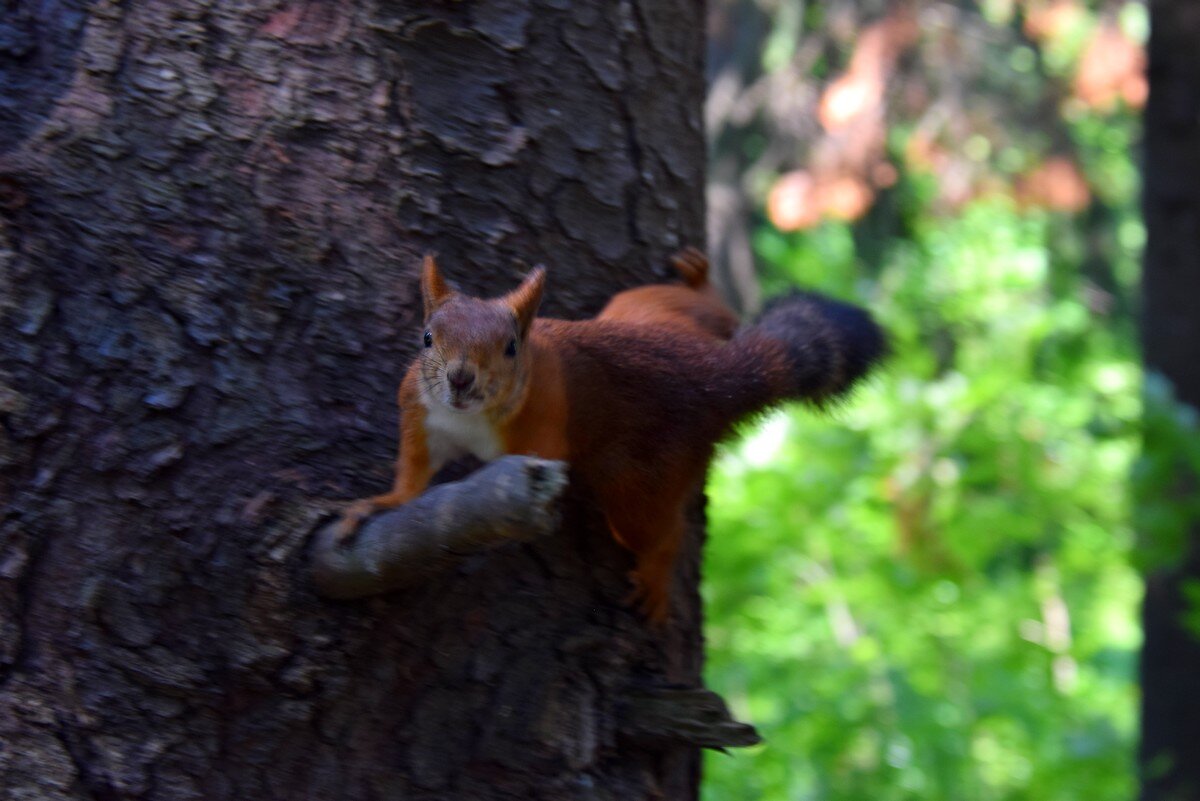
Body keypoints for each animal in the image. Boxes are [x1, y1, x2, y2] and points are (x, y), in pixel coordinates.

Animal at [336, 247, 883, 623]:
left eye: (511, 347)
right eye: (427, 337)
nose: (461, 379)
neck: (471, 416)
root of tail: (716, 376)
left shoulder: (543, 429)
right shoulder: (422, 415)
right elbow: (412, 474)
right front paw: (381, 503)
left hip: (639, 483)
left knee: (660, 531)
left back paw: (658, 576)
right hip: (645, 309)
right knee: (708, 310)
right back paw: (701, 284)